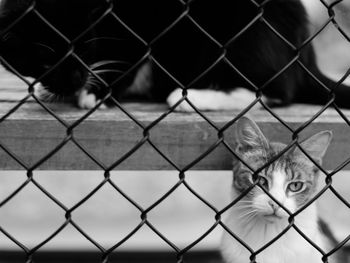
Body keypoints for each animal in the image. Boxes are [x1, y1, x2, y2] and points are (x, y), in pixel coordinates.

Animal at [0, 0, 350, 110]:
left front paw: (97, 92)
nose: (73, 79)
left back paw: (189, 97)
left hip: (252, 33)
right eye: (44, 60)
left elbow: (128, 52)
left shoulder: (139, 23)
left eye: (85, 47)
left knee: (274, 91)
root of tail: (306, 57)